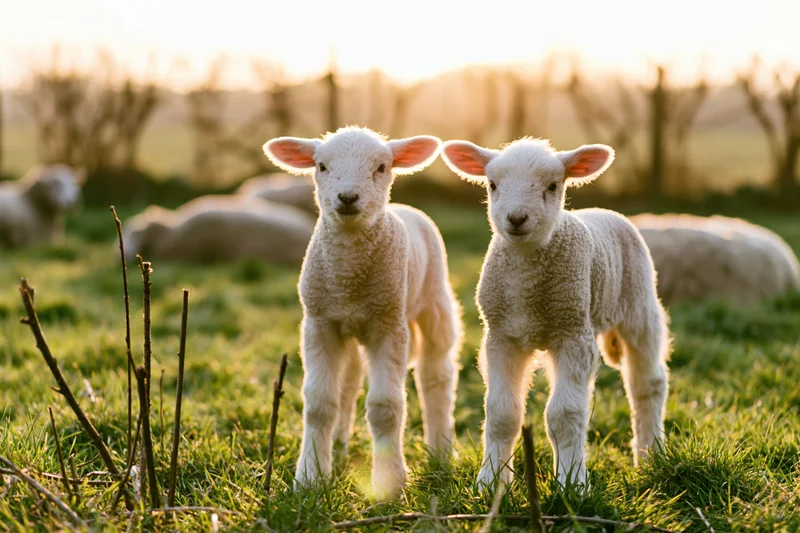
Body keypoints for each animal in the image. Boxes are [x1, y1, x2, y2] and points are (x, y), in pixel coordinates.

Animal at [263, 126, 463, 499]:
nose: (347, 197)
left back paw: (441, 451)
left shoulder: (389, 326)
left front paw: (388, 482)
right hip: (352, 328)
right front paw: (311, 476)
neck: (349, 278)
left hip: (434, 303)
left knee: (436, 376)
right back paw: (340, 445)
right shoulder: (320, 323)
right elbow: (320, 404)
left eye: (382, 167)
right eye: (321, 166)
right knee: (350, 381)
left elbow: (385, 407)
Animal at [441, 137, 670, 492]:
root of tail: (604, 212)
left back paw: (650, 454)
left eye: (552, 185)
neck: (526, 275)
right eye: (492, 185)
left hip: (639, 305)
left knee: (647, 384)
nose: (516, 218)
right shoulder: (500, 337)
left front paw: (573, 484)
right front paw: (491, 482)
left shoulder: (573, 334)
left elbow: (565, 415)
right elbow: (502, 414)